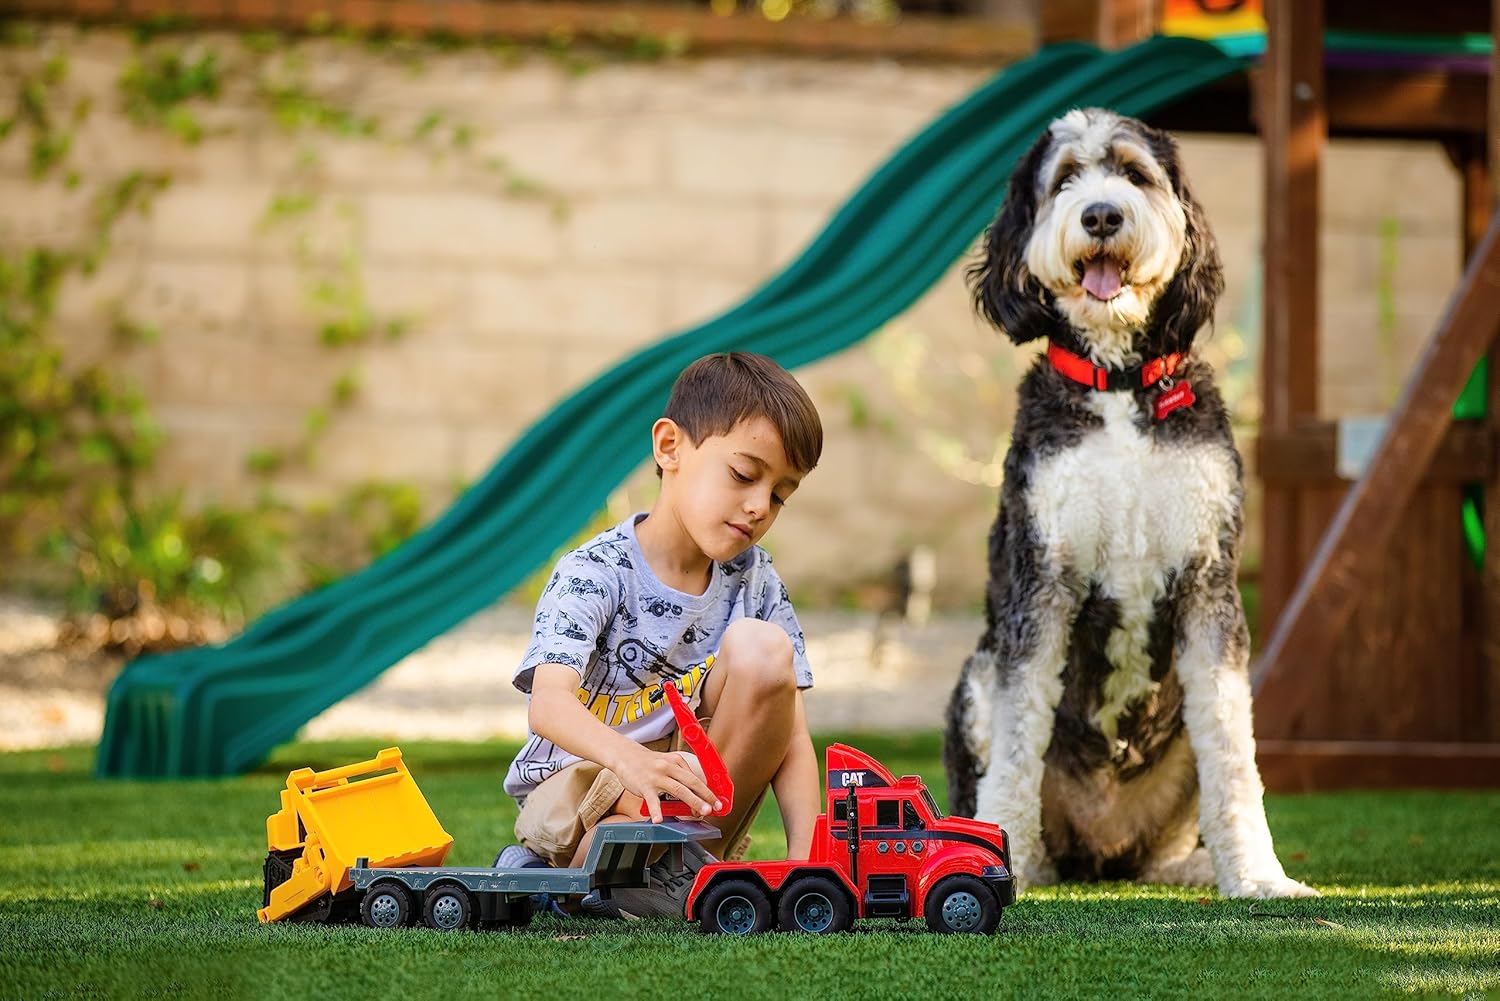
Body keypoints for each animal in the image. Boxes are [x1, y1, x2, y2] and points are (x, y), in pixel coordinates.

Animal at [942, 109, 1320, 900]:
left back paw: (1202, 866)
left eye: (1134, 174)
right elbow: (1019, 738)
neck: (1117, 384)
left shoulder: (1210, 582)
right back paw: (1028, 860)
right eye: (1064, 180)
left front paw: (1260, 875)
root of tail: (1098, 851)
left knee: (1169, 835)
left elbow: (1233, 752)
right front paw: (1001, 863)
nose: (1102, 214)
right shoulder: (1040, 582)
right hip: (976, 679)